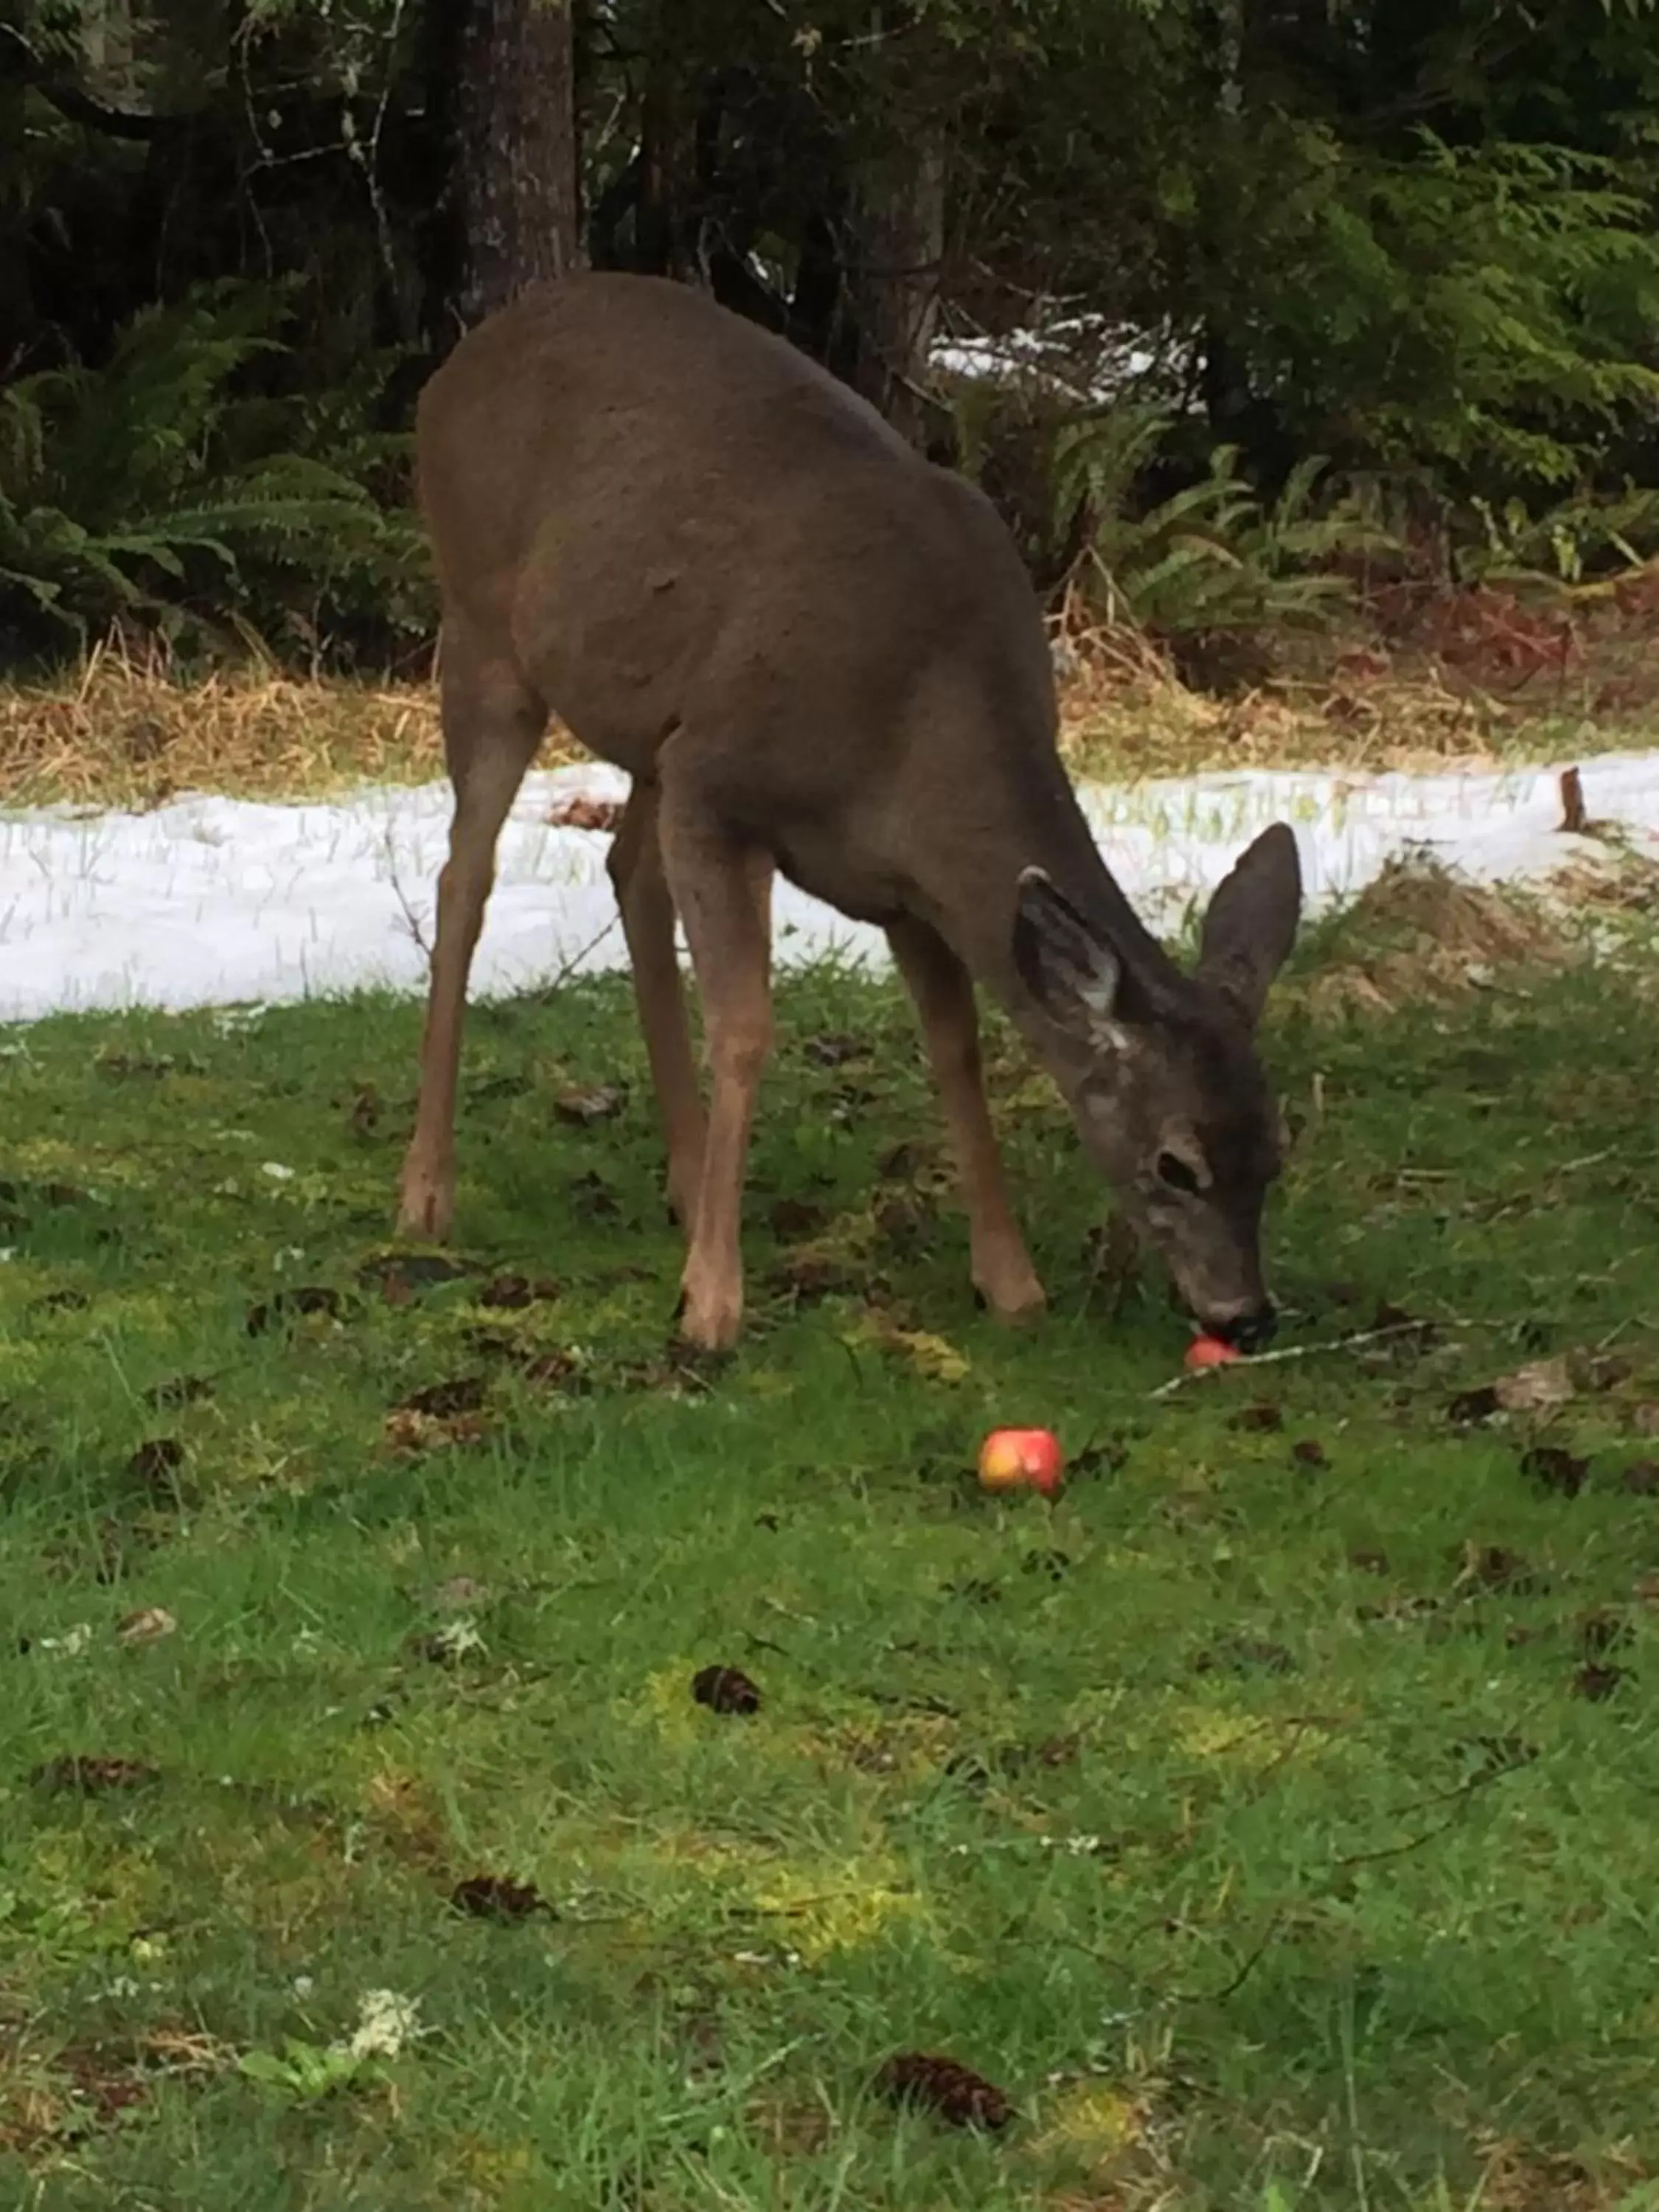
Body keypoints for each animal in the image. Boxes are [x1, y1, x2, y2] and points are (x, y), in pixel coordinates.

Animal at [396, 270, 1310, 1354]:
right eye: (1176, 1163)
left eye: (1275, 1151)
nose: (1244, 1314)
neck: (921, 719)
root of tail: (457, 363)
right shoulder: (722, 777)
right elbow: (746, 1027)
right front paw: (710, 1304)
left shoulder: (906, 881)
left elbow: (956, 1049)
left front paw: (1010, 1283)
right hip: (484, 626)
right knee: (464, 878)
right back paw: (426, 1193)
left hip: (654, 713)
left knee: (627, 871)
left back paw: (681, 1178)